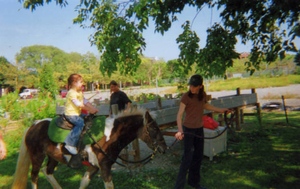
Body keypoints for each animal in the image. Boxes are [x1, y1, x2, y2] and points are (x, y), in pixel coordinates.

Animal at [11, 108, 168, 188]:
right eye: (154, 128)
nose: (164, 147)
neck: (109, 135)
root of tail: (33, 126)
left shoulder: (94, 166)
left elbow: (84, 183)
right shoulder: (104, 166)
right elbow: (109, 186)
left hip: (53, 157)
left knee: (47, 172)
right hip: (37, 157)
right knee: (34, 176)